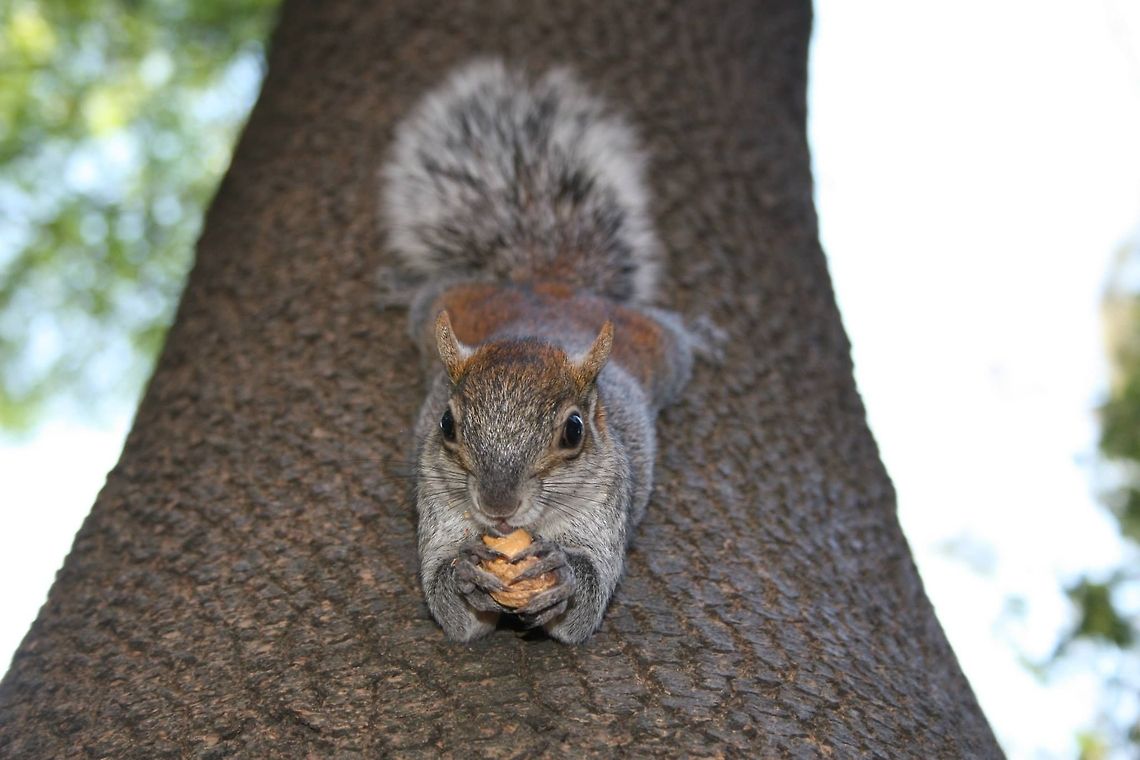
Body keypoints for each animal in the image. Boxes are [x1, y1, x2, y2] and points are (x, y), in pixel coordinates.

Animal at [380, 59, 715, 643]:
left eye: (574, 431)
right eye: (446, 424)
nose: (498, 508)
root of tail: (547, 282)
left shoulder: (607, 502)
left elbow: (588, 605)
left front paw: (565, 579)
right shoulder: (437, 501)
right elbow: (449, 608)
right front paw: (463, 575)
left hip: (661, 350)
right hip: (441, 304)